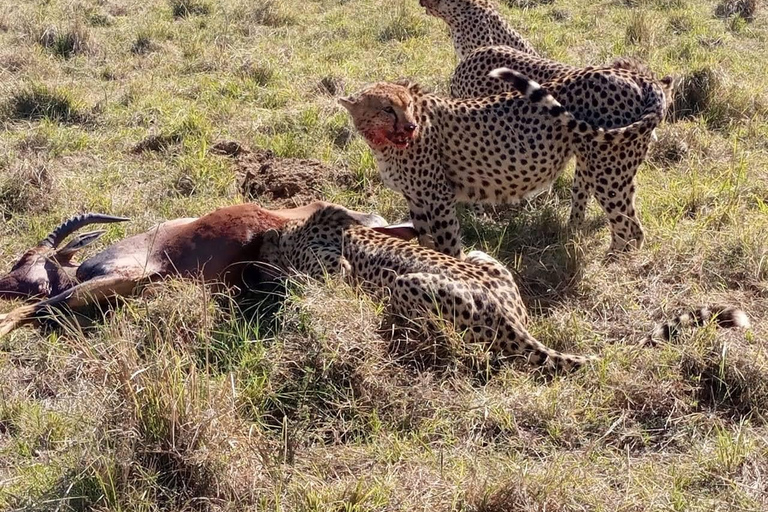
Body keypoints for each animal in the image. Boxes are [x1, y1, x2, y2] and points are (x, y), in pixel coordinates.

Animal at [340, 69, 664, 256]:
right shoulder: (417, 199)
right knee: (622, 218)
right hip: (604, 166)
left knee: (629, 227)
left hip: (608, 172)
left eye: (406, 105)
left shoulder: (438, 197)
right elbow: (424, 238)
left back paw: (615, 265)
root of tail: (632, 73)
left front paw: (455, 269)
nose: (410, 126)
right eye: (386, 109)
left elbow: (447, 240)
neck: (384, 144)